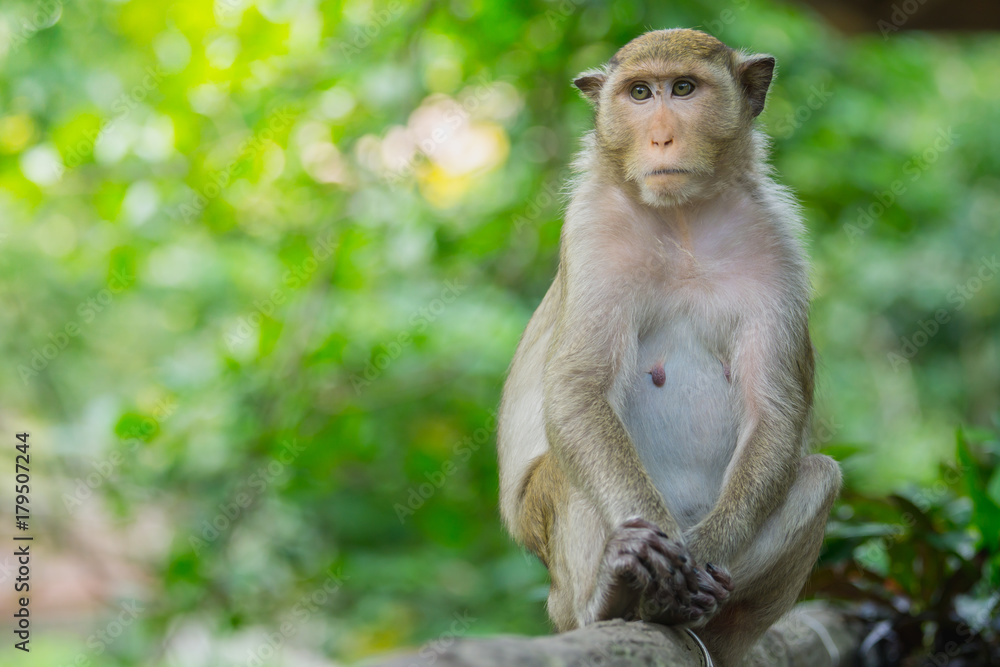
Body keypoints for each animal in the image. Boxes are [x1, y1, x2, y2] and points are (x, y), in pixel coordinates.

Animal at [496, 28, 840, 664]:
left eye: (683, 89)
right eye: (639, 93)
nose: (660, 136)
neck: (683, 220)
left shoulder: (779, 242)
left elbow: (775, 411)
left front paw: (700, 559)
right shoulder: (593, 230)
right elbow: (579, 389)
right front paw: (658, 567)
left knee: (820, 476)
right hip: (554, 575)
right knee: (570, 463)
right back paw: (618, 591)